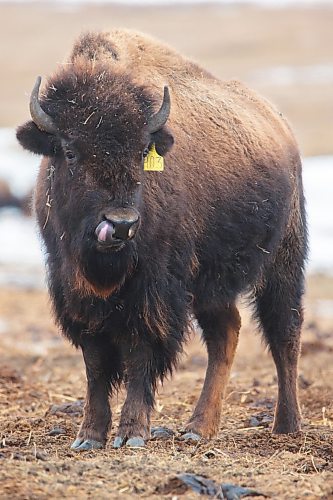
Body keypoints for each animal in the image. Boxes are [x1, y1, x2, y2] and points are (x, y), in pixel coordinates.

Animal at [15, 30, 306, 454]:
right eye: (69, 151)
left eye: (141, 153)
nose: (120, 225)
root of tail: (280, 126)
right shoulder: (75, 292)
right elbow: (96, 365)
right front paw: (89, 437)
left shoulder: (156, 293)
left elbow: (141, 355)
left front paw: (132, 433)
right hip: (210, 285)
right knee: (227, 332)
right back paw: (198, 428)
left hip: (283, 260)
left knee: (284, 333)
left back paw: (285, 425)